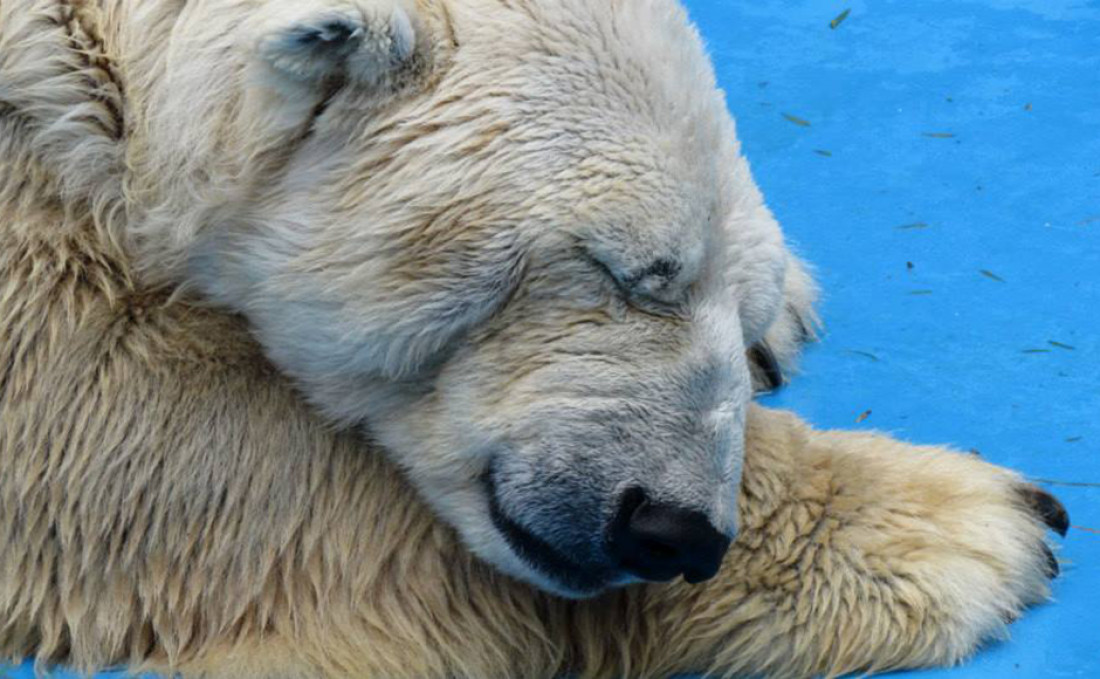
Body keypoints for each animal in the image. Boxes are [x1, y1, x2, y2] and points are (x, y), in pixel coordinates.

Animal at [0, 0, 1069, 673]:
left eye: (734, 299)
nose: (673, 528)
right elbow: (138, 432)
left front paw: (787, 314)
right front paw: (971, 523)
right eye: (625, 270)